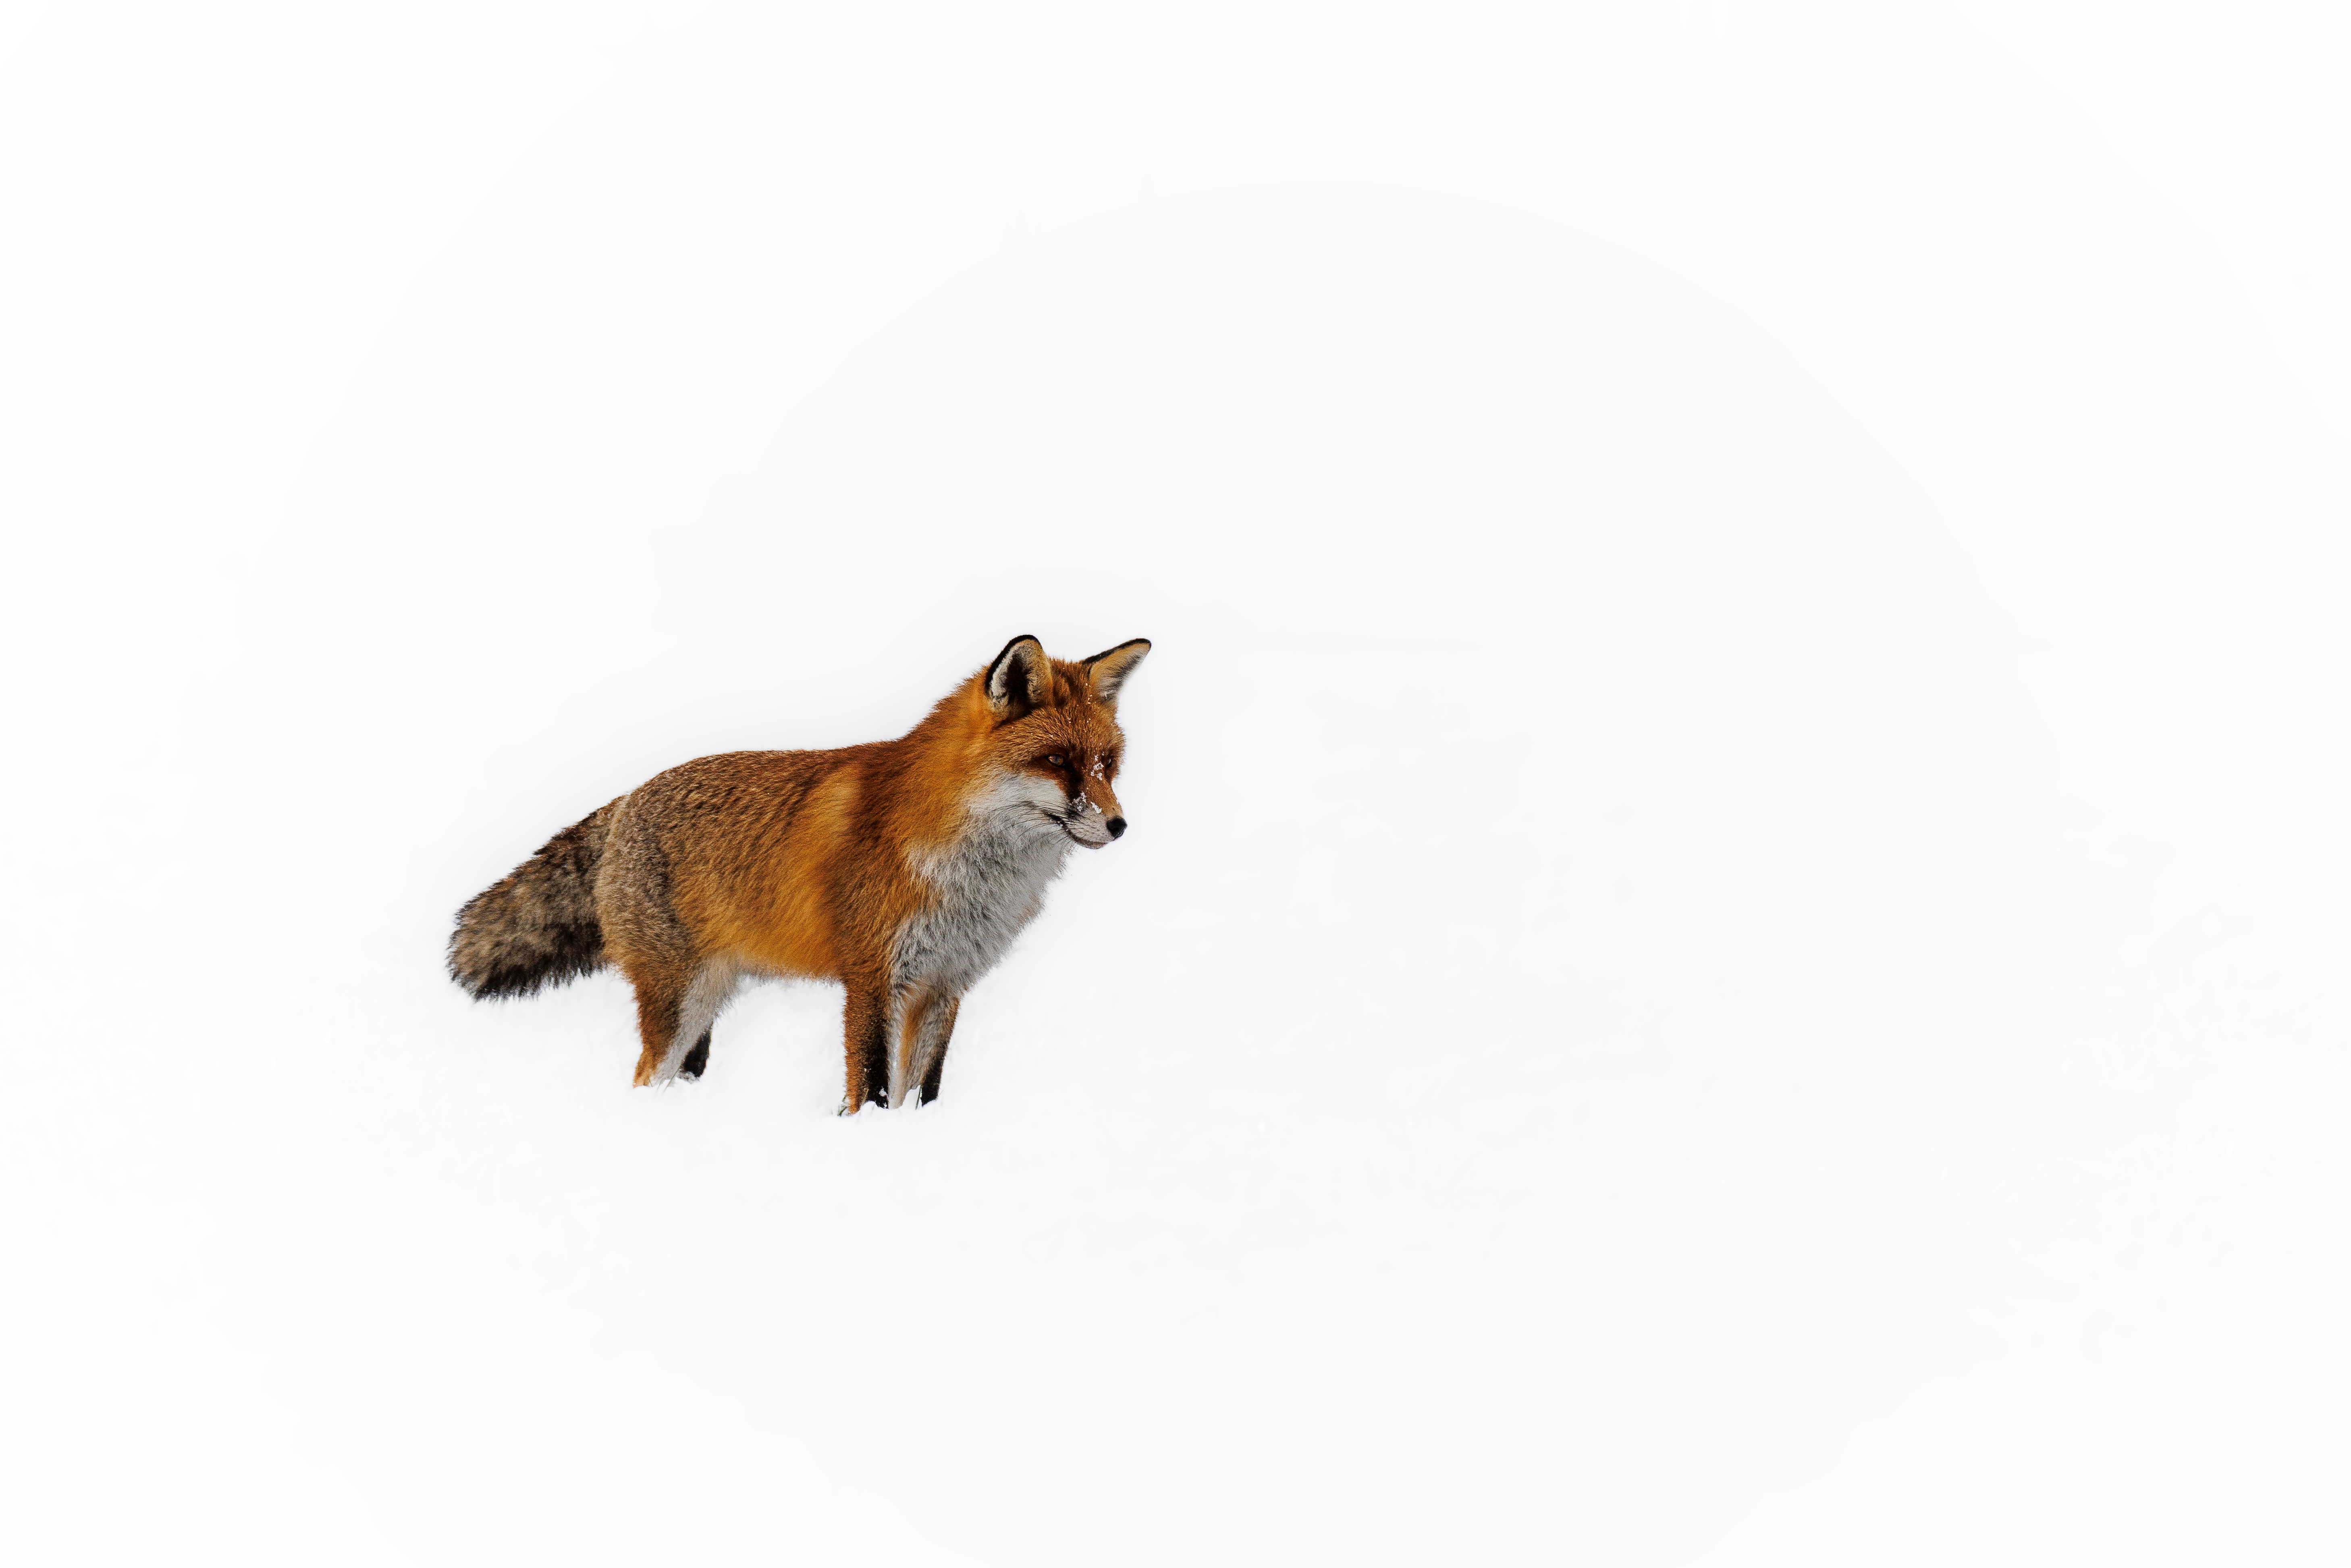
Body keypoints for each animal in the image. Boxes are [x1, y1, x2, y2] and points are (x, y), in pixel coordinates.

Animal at [448, 635, 1149, 1111]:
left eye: (1107, 763)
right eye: (1056, 761)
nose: (1119, 825)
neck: (970, 875)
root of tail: (626, 800)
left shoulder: (946, 982)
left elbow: (920, 1090)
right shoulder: (873, 977)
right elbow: (870, 1086)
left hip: (707, 1006)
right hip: (681, 1003)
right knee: (645, 1076)